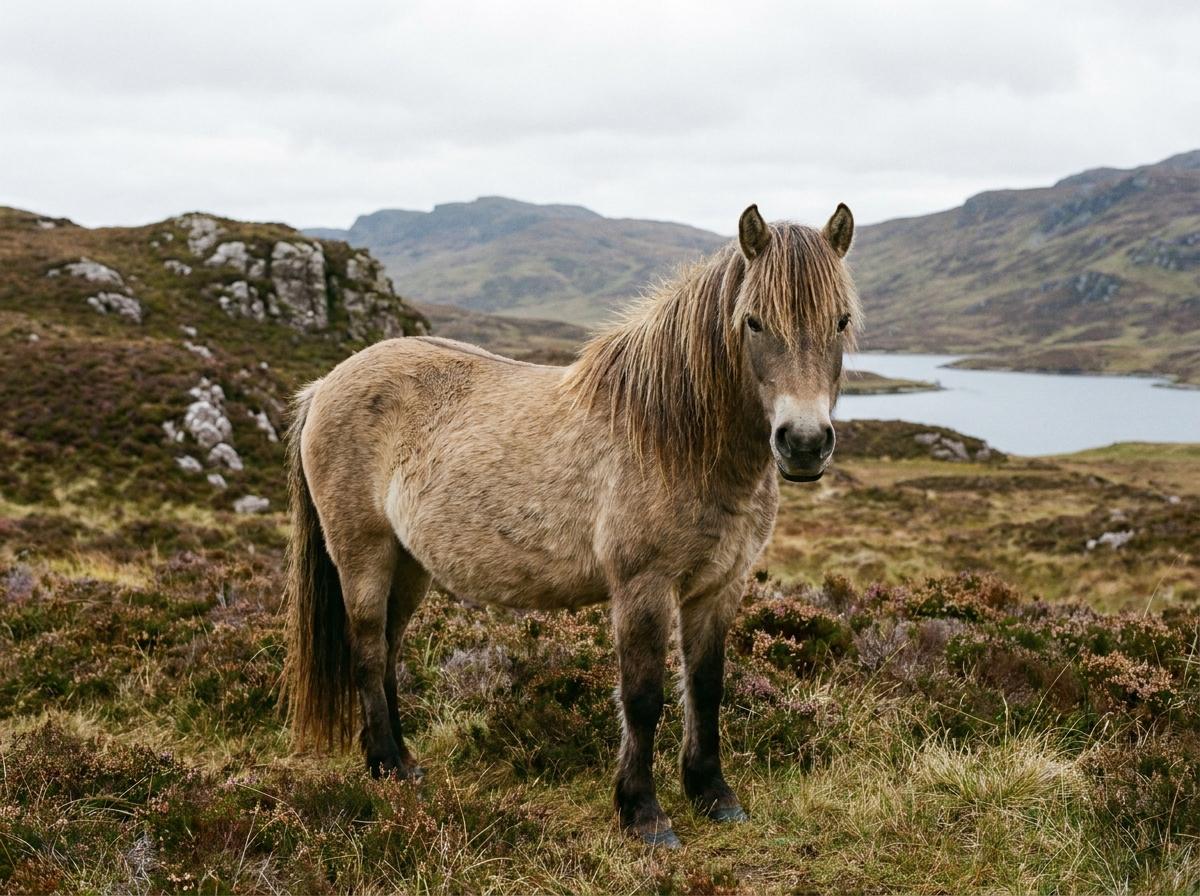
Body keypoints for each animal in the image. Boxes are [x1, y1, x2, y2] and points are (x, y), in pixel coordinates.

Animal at [282, 203, 859, 847]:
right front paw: (644, 814)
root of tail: (324, 385)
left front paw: (713, 794)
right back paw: (386, 767)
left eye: (840, 321)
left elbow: (706, 689)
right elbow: (643, 697)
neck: (673, 437)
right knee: (365, 650)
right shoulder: (642, 588)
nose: (804, 444)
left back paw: (404, 762)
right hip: (363, 552)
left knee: (386, 647)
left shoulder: (719, 588)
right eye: (754, 322)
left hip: (409, 566)